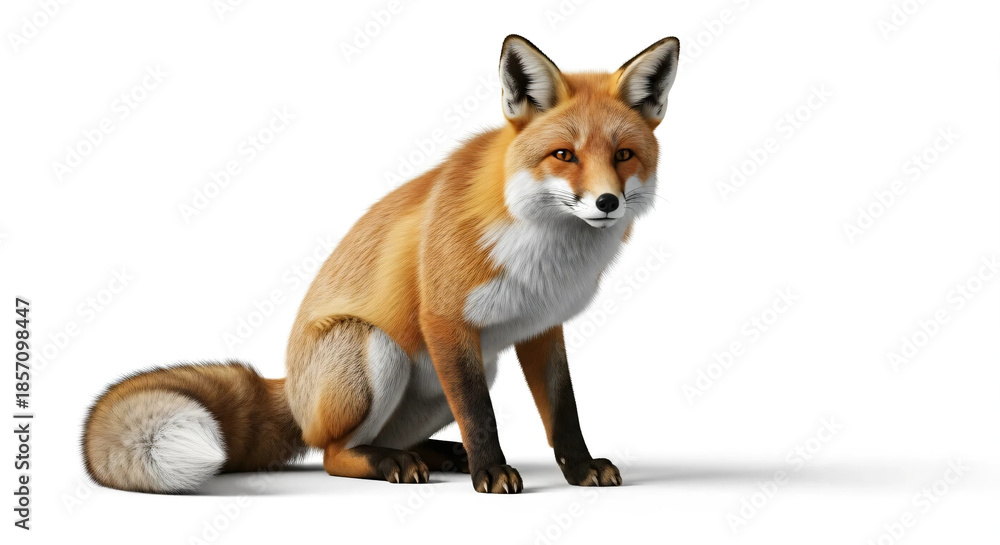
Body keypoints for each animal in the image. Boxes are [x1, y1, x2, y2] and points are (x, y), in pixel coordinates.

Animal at [82, 34, 680, 494]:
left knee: (387, 436)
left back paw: (432, 453)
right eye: (564, 156)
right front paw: (490, 473)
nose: (607, 202)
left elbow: (563, 410)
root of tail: (291, 389)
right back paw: (396, 463)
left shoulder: (540, 328)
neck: (545, 251)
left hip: (464, 368)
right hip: (376, 348)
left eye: (623, 156)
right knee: (332, 452)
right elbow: (480, 415)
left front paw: (579, 469)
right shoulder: (444, 320)